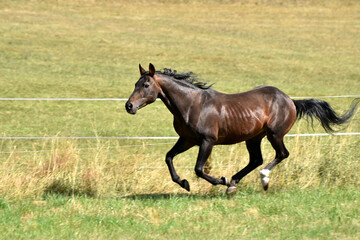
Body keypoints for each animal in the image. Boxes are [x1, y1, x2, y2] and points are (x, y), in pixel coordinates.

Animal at [125, 62, 358, 194]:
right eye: (135, 83)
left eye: (145, 85)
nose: (129, 106)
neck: (192, 104)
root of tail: (290, 100)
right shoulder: (187, 140)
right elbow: (169, 158)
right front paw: (184, 183)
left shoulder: (207, 141)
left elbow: (199, 169)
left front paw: (220, 180)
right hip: (253, 138)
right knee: (256, 159)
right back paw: (234, 184)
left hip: (275, 134)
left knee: (280, 154)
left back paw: (260, 179)